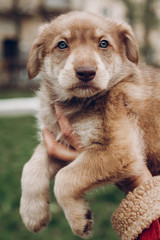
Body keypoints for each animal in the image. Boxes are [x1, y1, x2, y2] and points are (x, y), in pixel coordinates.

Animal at [19, 10, 160, 238]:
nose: (86, 72)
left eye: (103, 43)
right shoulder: (58, 140)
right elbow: (31, 167)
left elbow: (64, 178)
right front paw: (32, 214)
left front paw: (79, 219)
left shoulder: (117, 149)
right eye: (62, 44)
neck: (79, 103)